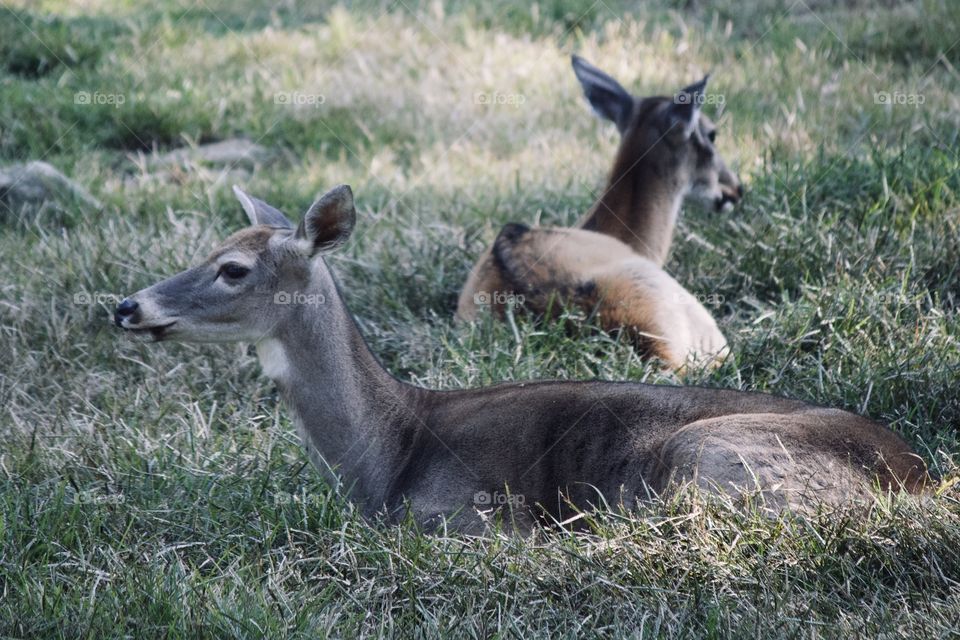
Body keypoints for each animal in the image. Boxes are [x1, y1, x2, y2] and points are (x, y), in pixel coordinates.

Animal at [112, 182, 928, 532]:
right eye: (211, 249)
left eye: (233, 270)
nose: (127, 307)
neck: (385, 450)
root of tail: (917, 479)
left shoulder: (458, 509)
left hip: (705, 457)